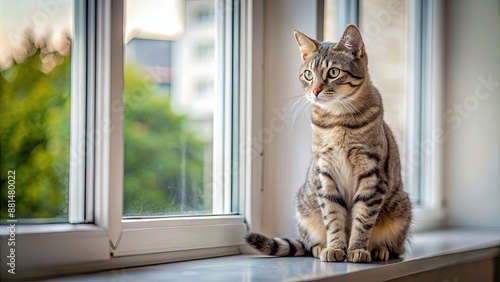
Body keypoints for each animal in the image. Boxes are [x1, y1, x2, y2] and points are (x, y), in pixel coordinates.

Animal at [244, 23, 412, 262]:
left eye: (333, 72)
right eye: (308, 74)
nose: (315, 90)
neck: (337, 120)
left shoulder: (371, 174)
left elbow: (363, 219)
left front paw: (357, 249)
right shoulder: (325, 173)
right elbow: (332, 217)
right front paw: (335, 247)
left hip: (401, 209)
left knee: (396, 247)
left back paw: (378, 250)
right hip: (304, 208)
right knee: (307, 243)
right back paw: (319, 247)